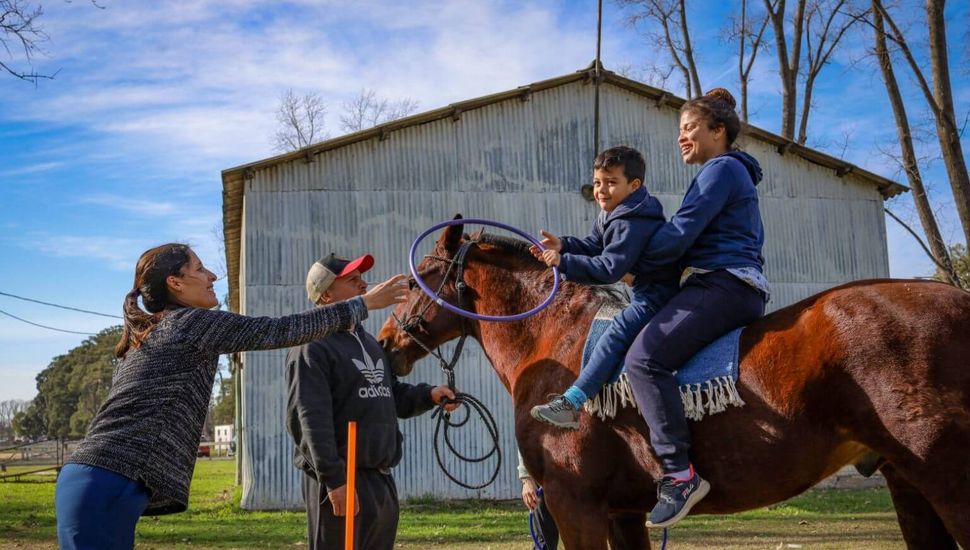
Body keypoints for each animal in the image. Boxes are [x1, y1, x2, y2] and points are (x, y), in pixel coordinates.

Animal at [376, 222, 968, 548]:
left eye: (415, 281)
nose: (385, 343)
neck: (557, 340)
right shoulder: (623, 513)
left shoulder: (575, 504)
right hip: (906, 483)